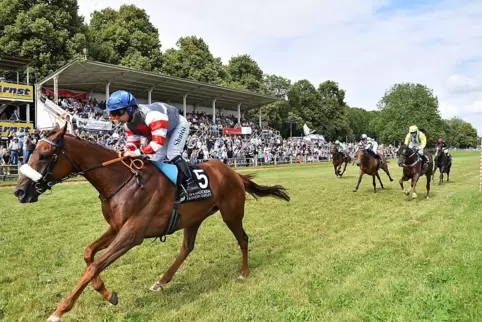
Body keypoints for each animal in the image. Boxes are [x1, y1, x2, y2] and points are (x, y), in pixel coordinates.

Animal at [13, 122, 290, 320]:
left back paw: (244, 272)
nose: (20, 191)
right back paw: (161, 282)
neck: (121, 180)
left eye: (46, 154)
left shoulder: (132, 234)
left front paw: (59, 311)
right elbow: (89, 253)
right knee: (187, 248)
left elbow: (94, 266)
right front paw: (107, 293)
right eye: (32, 150)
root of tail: (232, 172)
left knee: (243, 238)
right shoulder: (116, 228)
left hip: (231, 213)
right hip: (194, 217)